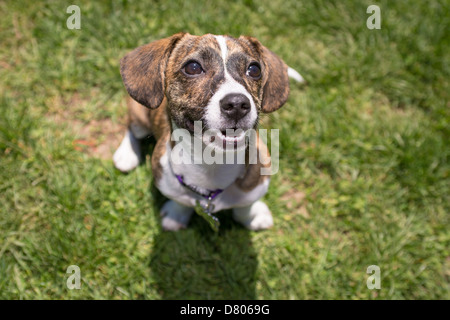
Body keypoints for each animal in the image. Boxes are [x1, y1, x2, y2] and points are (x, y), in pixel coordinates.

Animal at [113, 33, 302, 231]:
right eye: (193, 67)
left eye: (254, 69)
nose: (237, 104)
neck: (212, 165)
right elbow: (181, 202)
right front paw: (176, 214)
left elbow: (245, 205)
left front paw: (253, 215)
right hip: (140, 117)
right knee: (131, 127)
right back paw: (126, 155)